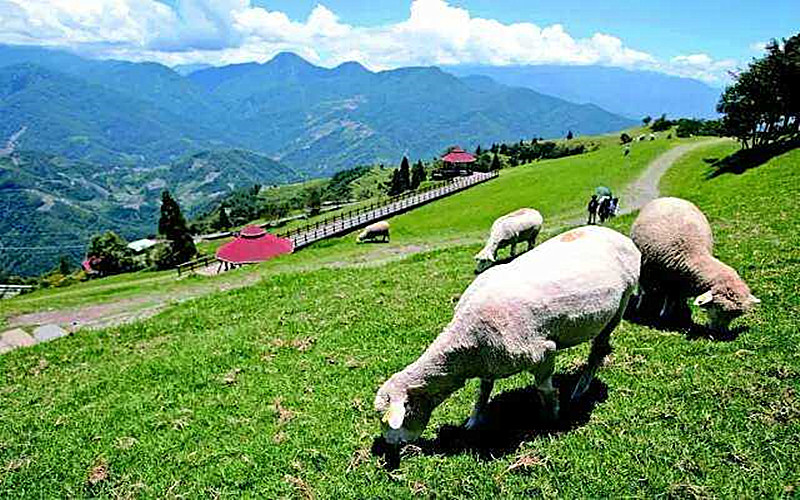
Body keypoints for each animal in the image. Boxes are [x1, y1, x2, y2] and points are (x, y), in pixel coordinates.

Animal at [372, 227, 640, 446]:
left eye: (389, 420)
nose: (390, 443)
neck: (466, 347)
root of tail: (619, 235)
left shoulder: (543, 352)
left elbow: (545, 389)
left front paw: (551, 419)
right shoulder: (489, 362)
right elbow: (482, 392)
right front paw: (473, 421)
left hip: (621, 304)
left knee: (598, 350)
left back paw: (580, 389)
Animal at [628, 197, 760, 330]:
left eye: (734, 317)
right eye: (717, 308)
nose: (719, 331)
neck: (693, 252)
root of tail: (670, 198)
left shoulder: (678, 284)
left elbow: (674, 298)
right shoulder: (653, 275)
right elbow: (654, 295)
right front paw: (657, 314)